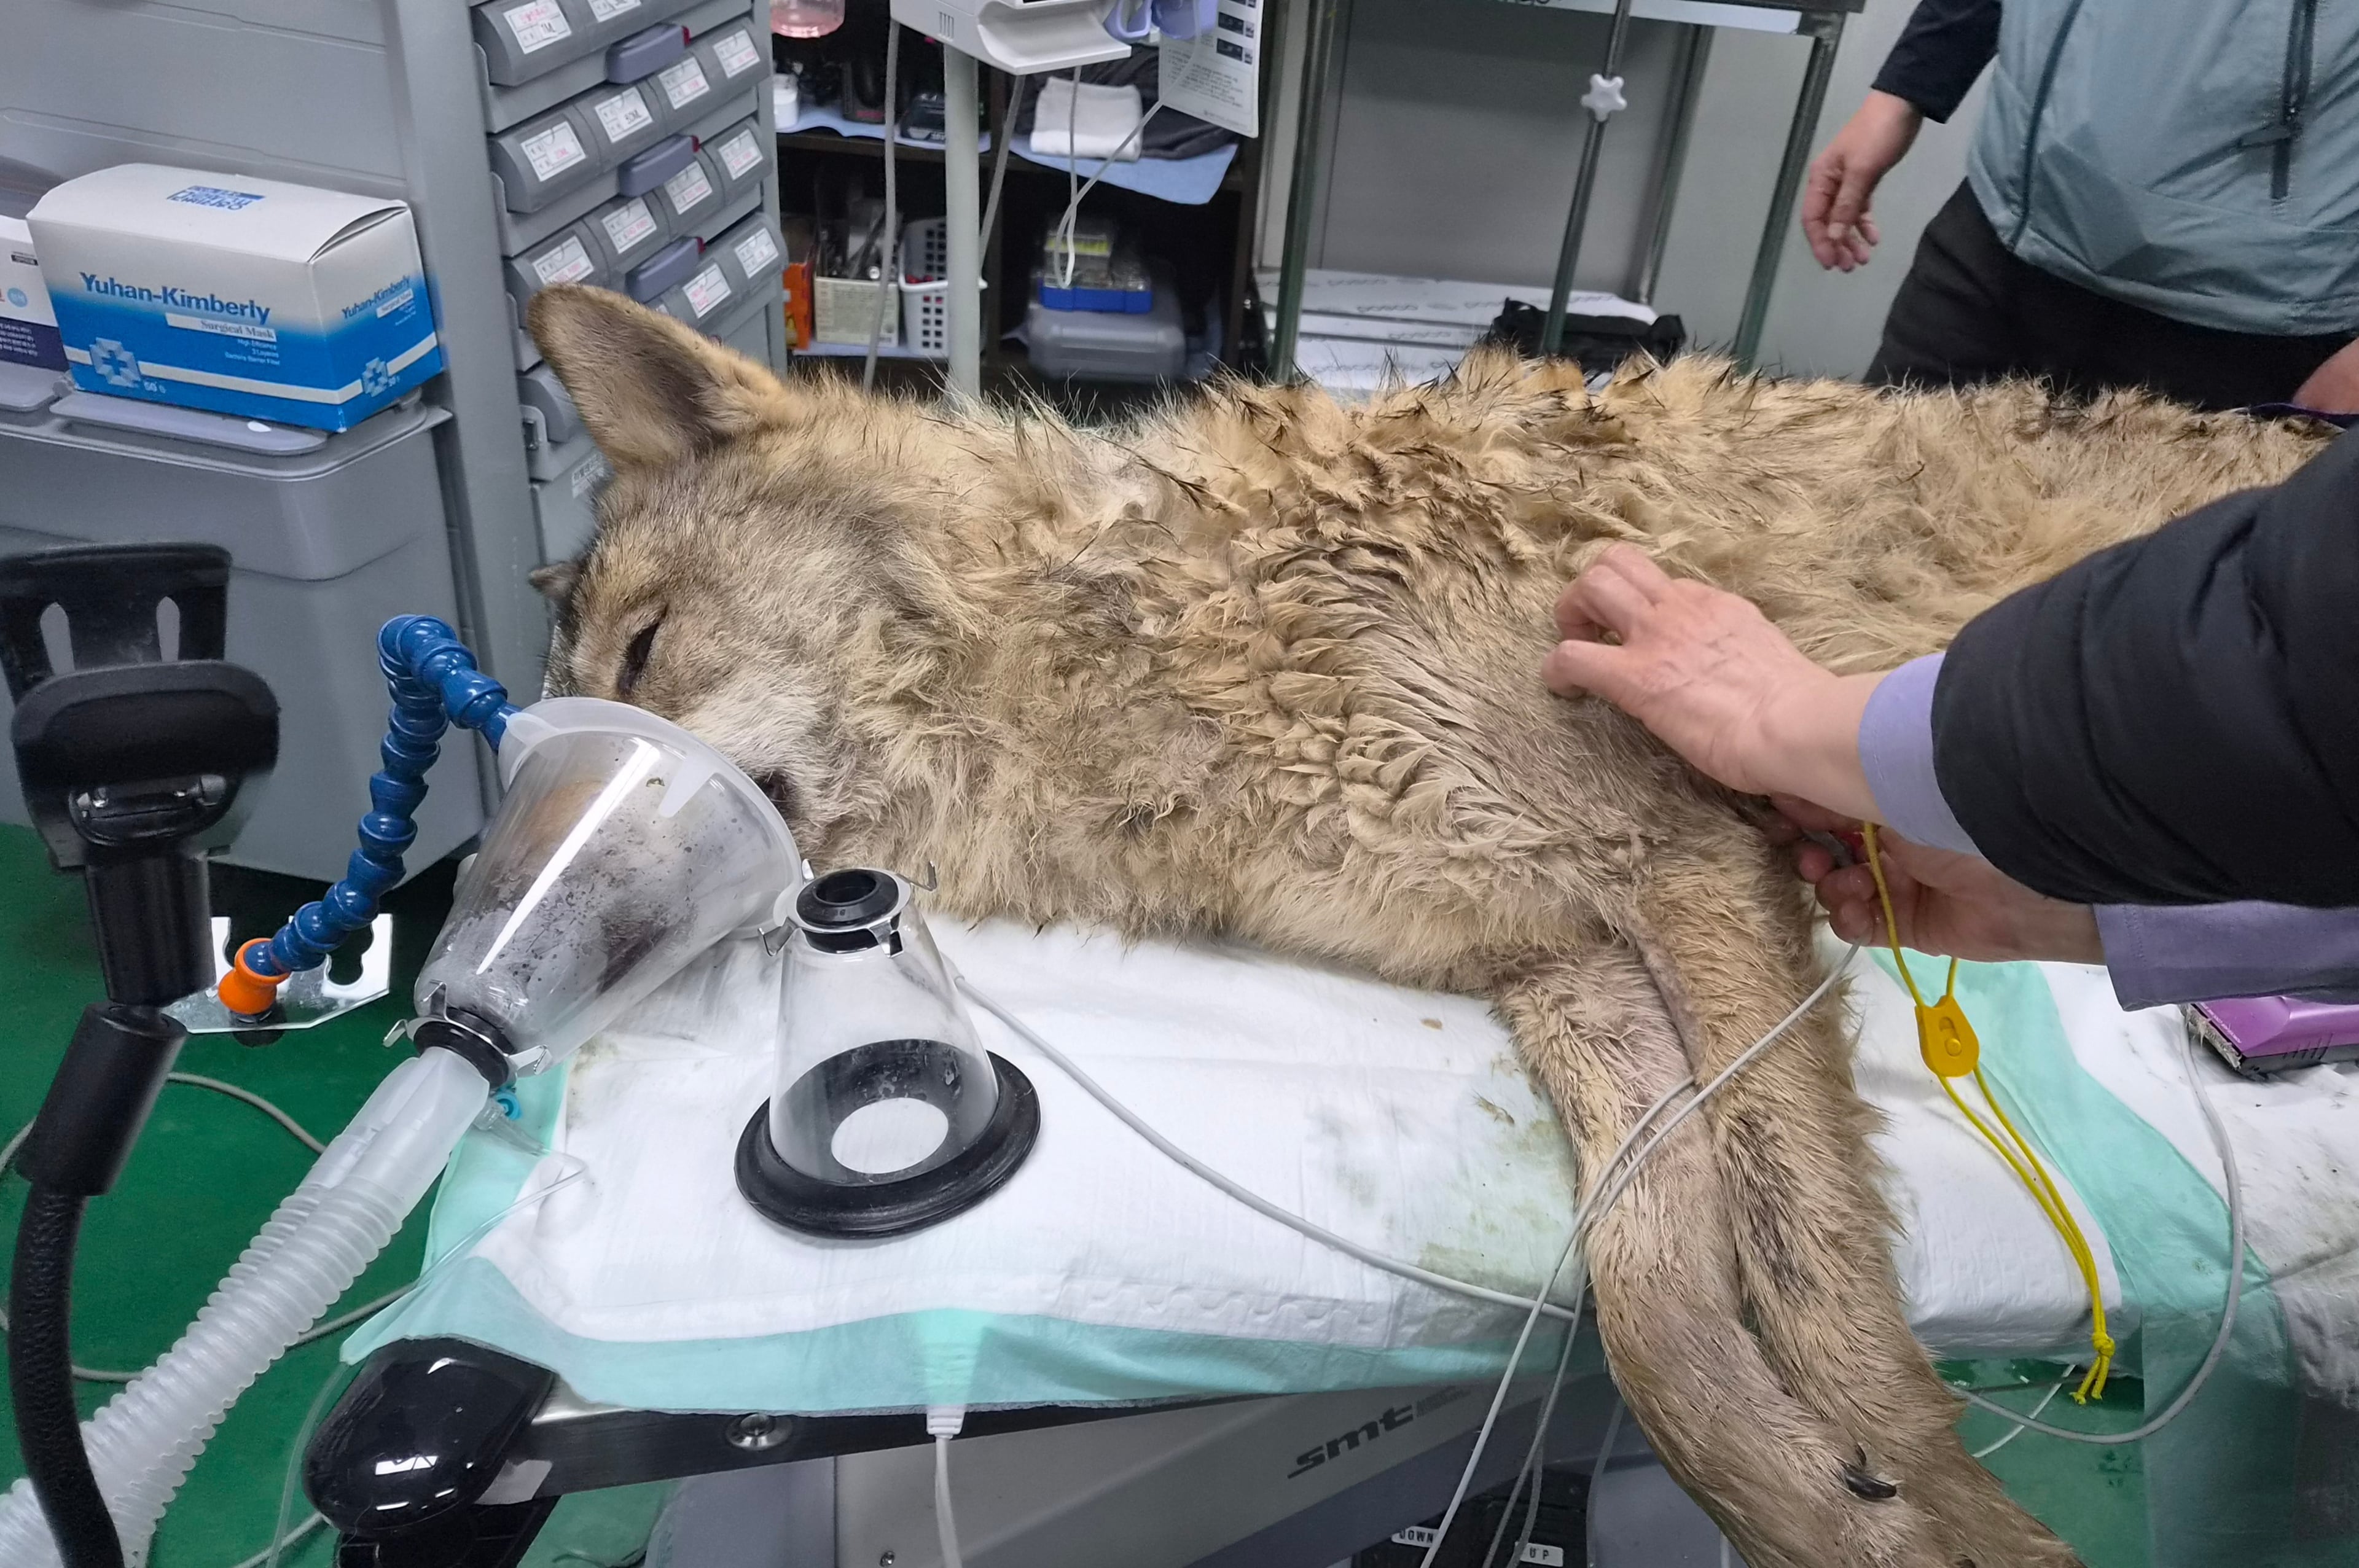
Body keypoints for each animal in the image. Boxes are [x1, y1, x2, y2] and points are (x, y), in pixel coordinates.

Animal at [524, 283, 2322, 1568]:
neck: (1140, 637)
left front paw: (1947, 1511)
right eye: (563, 717)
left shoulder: (1689, 860)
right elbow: (1661, 1316)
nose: (499, 952)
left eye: (646, 652)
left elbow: (1811, 1278)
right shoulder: (1567, 964)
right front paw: (1835, 1507)